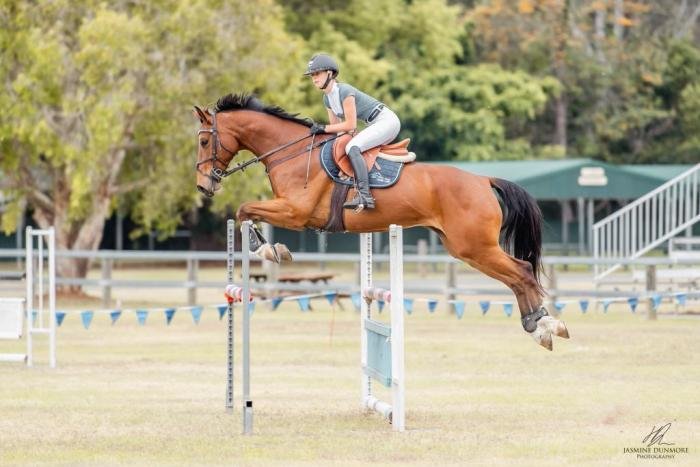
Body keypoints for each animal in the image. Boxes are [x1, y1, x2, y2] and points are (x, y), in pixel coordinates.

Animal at [193, 94, 568, 352]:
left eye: (203, 140)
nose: (203, 186)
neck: (293, 152)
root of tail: (483, 180)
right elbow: (246, 211)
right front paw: (271, 248)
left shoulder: (296, 211)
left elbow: (244, 208)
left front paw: (270, 250)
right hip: (466, 247)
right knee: (517, 276)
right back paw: (539, 325)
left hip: (474, 247)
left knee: (521, 271)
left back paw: (544, 326)